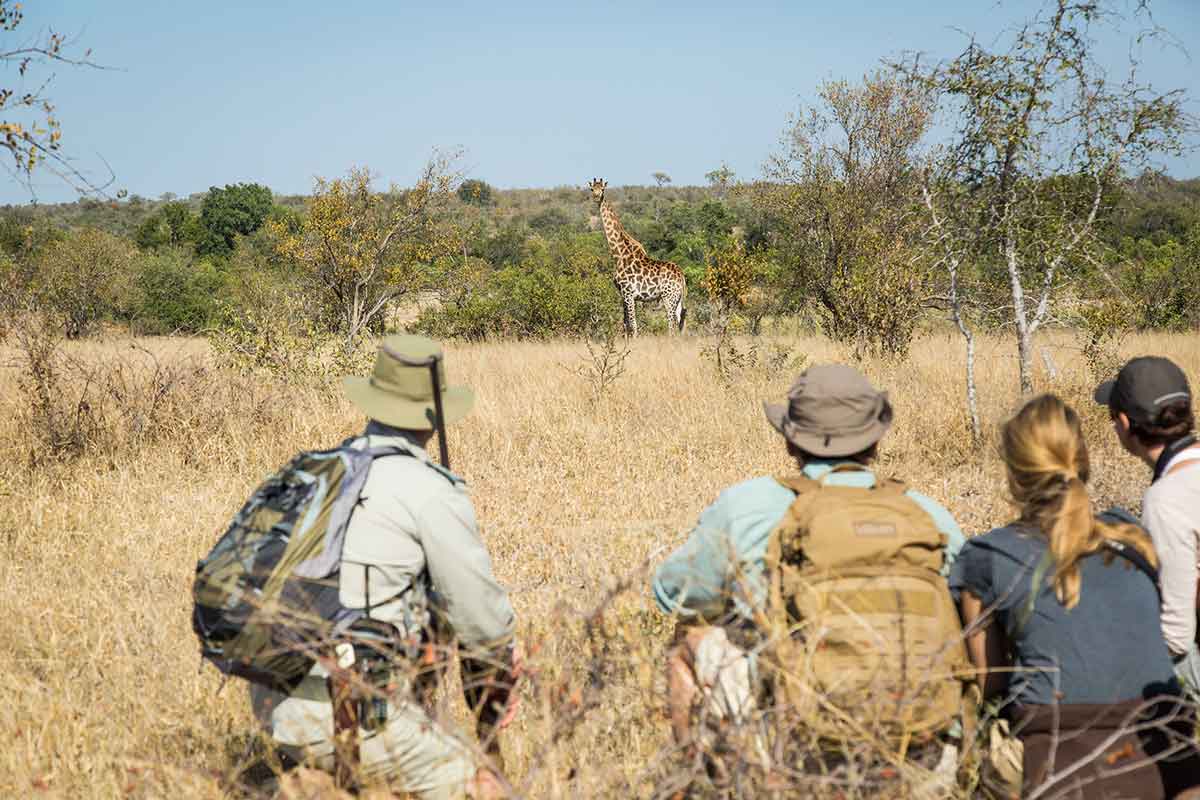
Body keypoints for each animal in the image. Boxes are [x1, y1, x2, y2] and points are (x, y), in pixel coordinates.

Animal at [588, 176, 686, 335]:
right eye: (592, 189)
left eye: (602, 189)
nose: (596, 197)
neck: (619, 253)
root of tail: (682, 276)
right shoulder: (623, 294)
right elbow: (625, 324)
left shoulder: (628, 293)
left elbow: (633, 325)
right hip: (677, 299)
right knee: (680, 323)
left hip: (668, 297)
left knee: (671, 325)